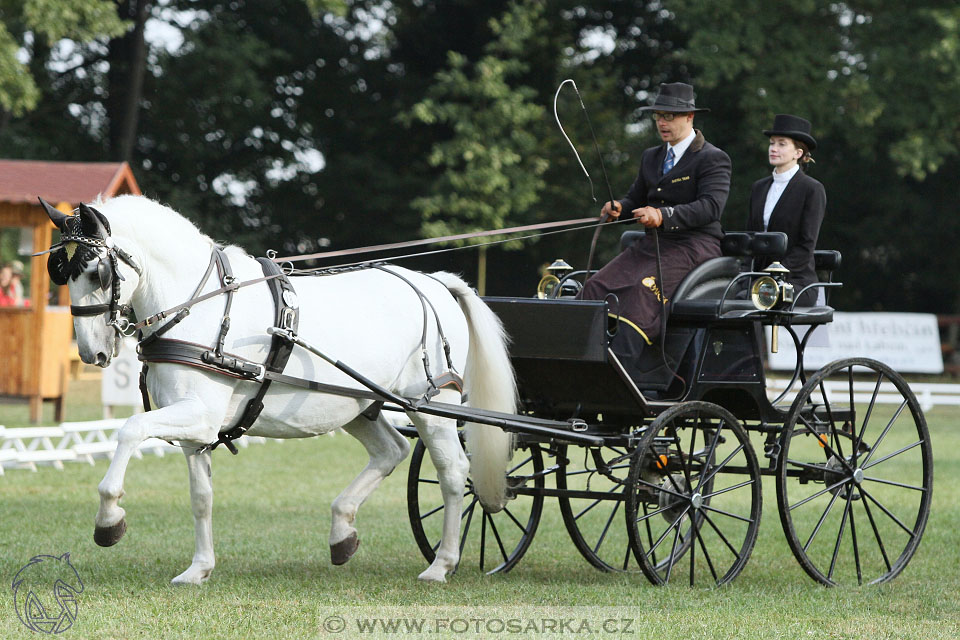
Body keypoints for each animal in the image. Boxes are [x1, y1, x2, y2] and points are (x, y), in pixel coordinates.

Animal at [43, 195, 516, 584]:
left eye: (97, 271)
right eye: (60, 273)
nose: (90, 352)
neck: (202, 306)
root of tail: (434, 283)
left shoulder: (199, 415)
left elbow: (129, 430)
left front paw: (109, 521)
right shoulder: (195, 428)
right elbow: (201, 497)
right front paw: (199, 569)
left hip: (431, 405)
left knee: (452, 471)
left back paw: (442, 564)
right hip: (358, 405)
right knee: (391, 450)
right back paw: (342, 531)